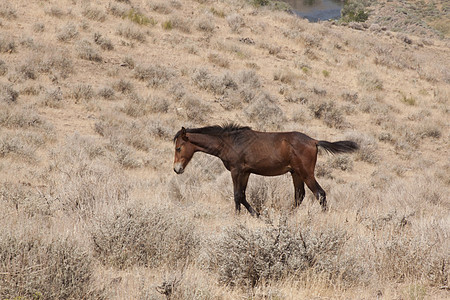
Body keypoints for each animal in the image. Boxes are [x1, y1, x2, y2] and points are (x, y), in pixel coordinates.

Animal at [172, 123, 358, 217]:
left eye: (179, 148)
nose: (177, 169)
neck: (230, 142)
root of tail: (314, 141)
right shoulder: (246, 172)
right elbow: (242, 195)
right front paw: (255, 214)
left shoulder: (236, 171)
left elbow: (237, 195)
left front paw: (244, 216)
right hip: (296, 173)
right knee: (300, 196)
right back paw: (287, 216)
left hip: (306, 173)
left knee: (320, 194)